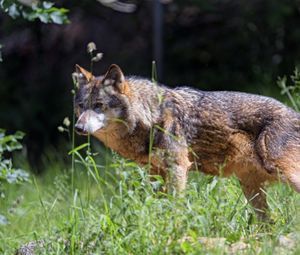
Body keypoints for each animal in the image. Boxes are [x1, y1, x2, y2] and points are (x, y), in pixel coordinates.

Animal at [74, 63, 300, 217]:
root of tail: (294, 113)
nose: (78, 127)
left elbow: (176, 206)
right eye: (81, 106)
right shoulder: (155, 173)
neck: (150, 116)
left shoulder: (178, 168)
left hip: (282, 175)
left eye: (99, 105)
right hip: (251, 189)